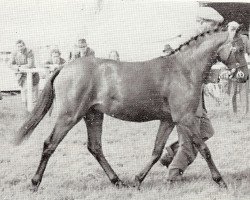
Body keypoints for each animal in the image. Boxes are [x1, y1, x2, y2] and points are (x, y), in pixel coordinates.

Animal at [15, 23, 248, 191]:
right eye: (239, 48)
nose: (244, 75)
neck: (183, 70)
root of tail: (64, 67)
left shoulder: (168, 120)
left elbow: (156, 151)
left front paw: (137, 179)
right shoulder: (186, 118)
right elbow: (204, 148)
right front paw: (221, 181)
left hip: (93, 115)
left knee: (95, 147)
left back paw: (118, 181)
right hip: (69, 116)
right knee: (50, 144)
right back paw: (35, 183)